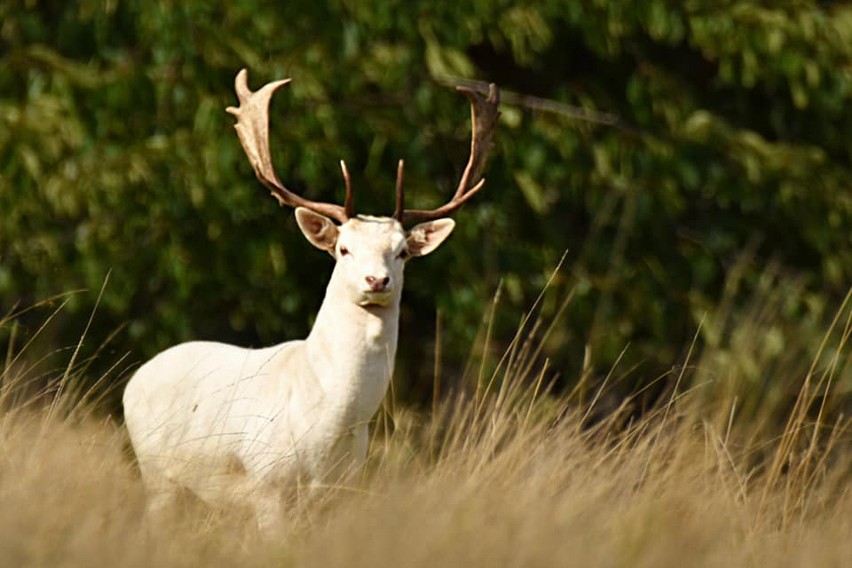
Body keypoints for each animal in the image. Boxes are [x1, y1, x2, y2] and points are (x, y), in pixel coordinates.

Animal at [120, 70, 500, 528]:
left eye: (401, 251)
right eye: (344, 249)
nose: (377, 279)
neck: (330, 427)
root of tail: (134, 380)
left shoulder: (341, 494)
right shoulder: (268, 486)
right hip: (156, 473)